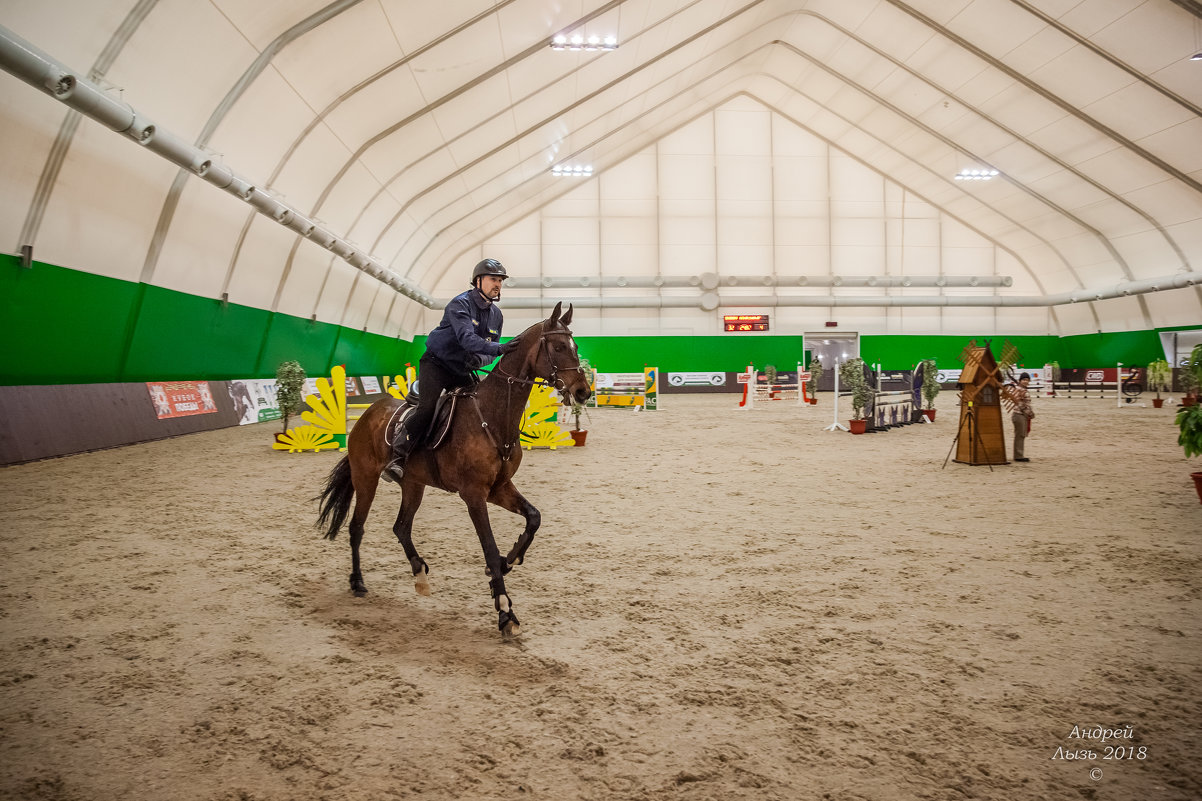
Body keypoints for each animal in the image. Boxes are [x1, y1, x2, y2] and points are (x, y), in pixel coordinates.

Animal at [314, 303, 586, 635]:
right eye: (559, 347)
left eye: (574, 347)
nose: (583, 392)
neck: (492, 417)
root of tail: (369, 413)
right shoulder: (474, 495)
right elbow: (489, 548)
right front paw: (505, 611)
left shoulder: (499, 489)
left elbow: (533, 518)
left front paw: (509, 562)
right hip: (366, 477)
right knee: (357, 527)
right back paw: (357, 582)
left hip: (413, 484)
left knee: (401, 527)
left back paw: (419, 574)